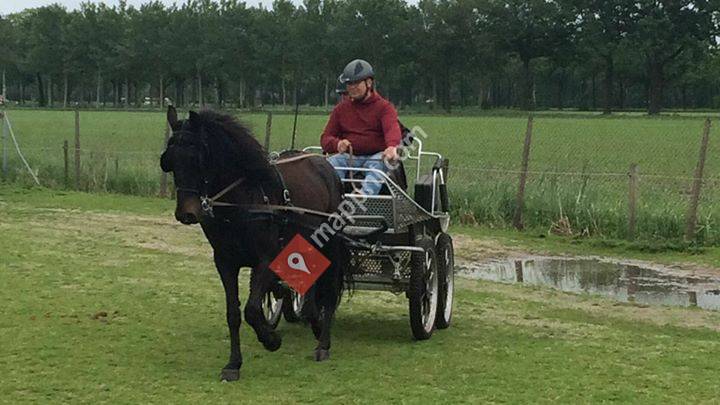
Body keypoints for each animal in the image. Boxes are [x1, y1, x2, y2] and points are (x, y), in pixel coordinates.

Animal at [160, 106, 350, 381]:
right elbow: (233, 313)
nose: (187, 213)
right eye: (170, 161)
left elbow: (251, 309)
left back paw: (323, 342)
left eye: (199, 158)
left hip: (331, 244)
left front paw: (271, 340)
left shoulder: (266, 259)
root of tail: (324, 164)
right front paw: (233, 364)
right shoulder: (224, 262)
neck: (240, 202)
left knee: (330, 290)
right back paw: (313, 320)